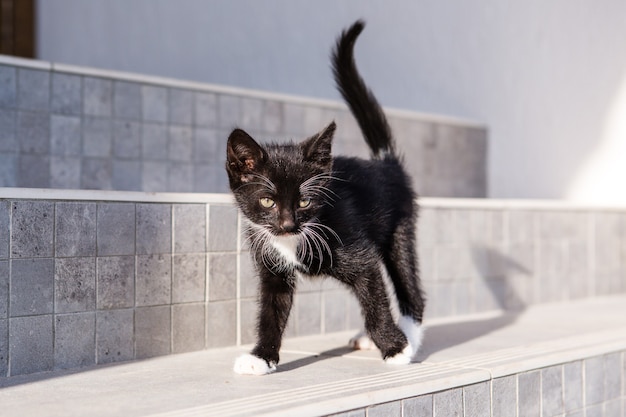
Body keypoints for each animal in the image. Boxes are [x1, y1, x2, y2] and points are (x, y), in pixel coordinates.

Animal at [224, 21, 424, 376]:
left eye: (304, 202)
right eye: (267, 202)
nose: (287, 224)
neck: (293, 241)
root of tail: (385, 163)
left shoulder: (360, 254)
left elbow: (375, 300)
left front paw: (394, 347)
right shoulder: (271, 266)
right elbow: (271, 311)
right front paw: (261, 357)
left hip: (401, 227)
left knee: (408, 285)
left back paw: (409, 337)